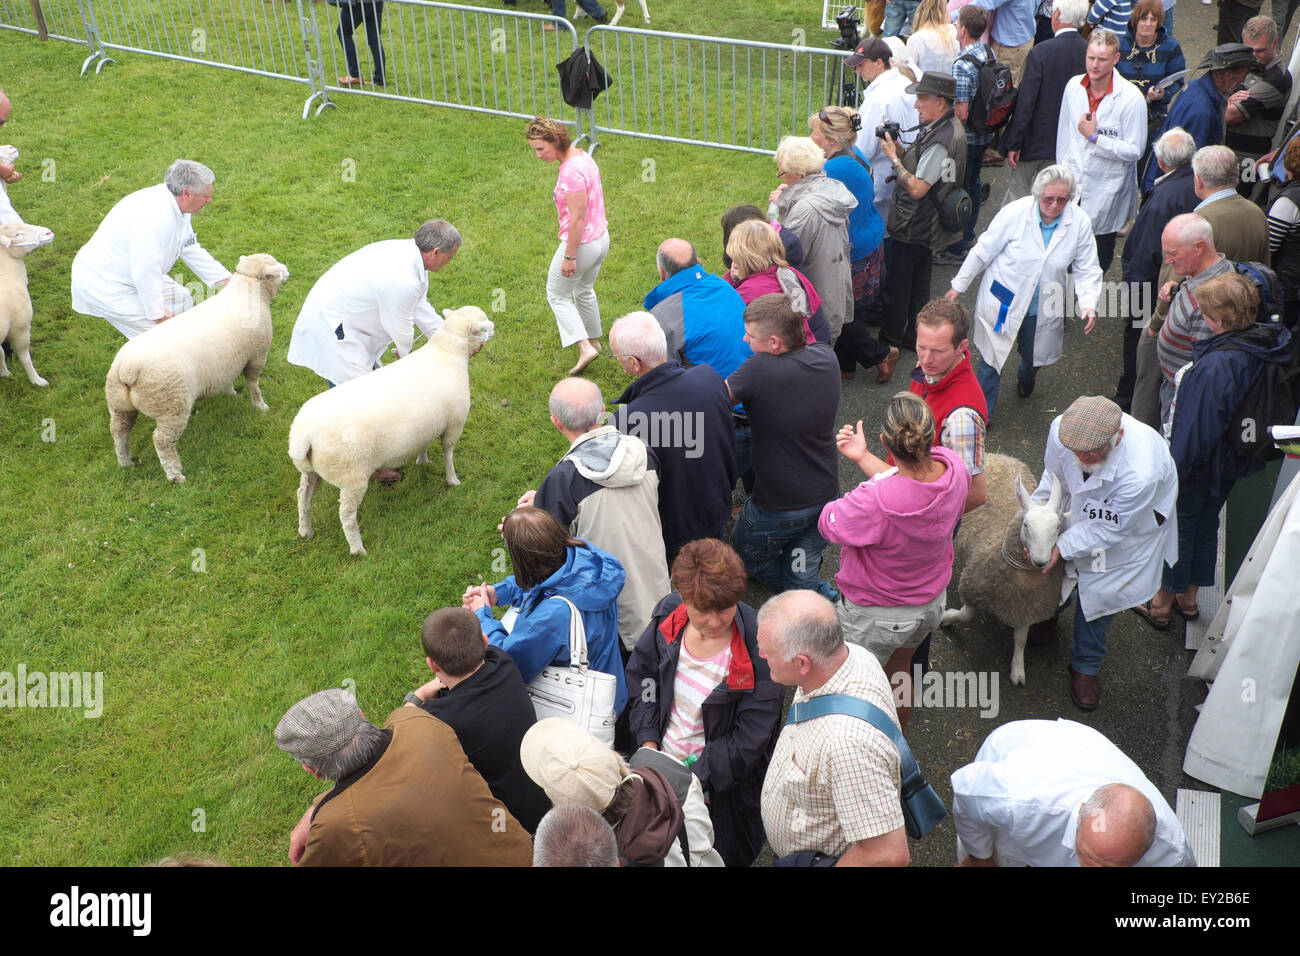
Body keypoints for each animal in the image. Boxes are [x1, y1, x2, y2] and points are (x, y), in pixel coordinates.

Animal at [0, 221, 54, 390]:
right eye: (17, 235)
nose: (49, 232)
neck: (7, 274)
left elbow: (1, 353)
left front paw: (4, 373)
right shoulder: (20, 328)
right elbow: (25, 357)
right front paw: (36, 380)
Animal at [105, 252, 291, 481]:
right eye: (275, 268)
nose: (287, 271)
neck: (248, 292)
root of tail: (127, 369)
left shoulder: (227, 361)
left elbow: (228, 379)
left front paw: (230, 393)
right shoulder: (257, 355)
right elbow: (253, 383)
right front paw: (260, 406)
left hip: (119, 404)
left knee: (119, 431)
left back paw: (125, 462)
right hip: (171, 405)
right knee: (162, 440)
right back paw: (176, 475)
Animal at [292, 306, 493, 556]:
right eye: (483, 326)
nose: (494, 328)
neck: (448, 352)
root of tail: (303, 435)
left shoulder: (425, 425)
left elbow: (423, 444)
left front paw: (423, 461)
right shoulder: (454, 423)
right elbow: (448, 453)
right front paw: (452, 480)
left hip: (313, 470)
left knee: (303, 496)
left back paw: (306, 530)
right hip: (351, 477)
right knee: (346, 515)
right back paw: (358, 549)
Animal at [946, 452, 1066, 686]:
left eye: (1057, 527)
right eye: (1026, 525)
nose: (1041, 561)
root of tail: (1001, 456)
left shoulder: (1027, 610)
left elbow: (1021, 640)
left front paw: (1017, 669)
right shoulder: (972, 588)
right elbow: (964, 616)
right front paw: (946, 618)